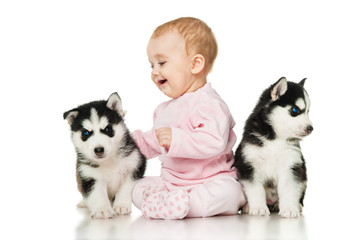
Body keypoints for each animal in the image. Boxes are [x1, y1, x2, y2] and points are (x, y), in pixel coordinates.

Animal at [233, 77, 312, 218]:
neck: (275, 140)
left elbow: (288, 188)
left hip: (303, 176)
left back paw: (294, 205)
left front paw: (289, 209)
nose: (311, 128)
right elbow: (256, 189)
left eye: (308, 111)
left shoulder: (291, 166)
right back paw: (248, 206)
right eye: (295, 110)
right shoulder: (248, 165)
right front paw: (258, 208)